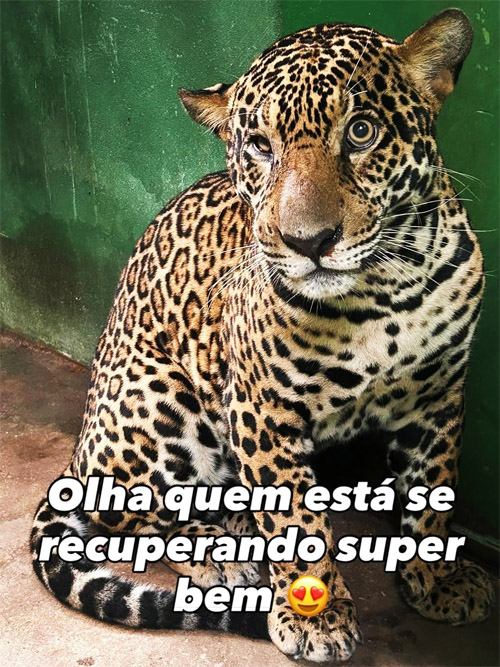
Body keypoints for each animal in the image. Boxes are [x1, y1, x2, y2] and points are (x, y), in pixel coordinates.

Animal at [31, 9, 495, 663]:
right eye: (259, 147)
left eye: (360, 132)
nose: (309, 241)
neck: (385, 293)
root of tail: (76, 454)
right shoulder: (263, 412)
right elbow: (298, 524)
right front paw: (314, 617)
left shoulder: (439, 395)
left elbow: (433, 494)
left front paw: (437, 582)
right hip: (161, 401)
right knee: (130, 516)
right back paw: (217, 555)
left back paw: (238, 527)